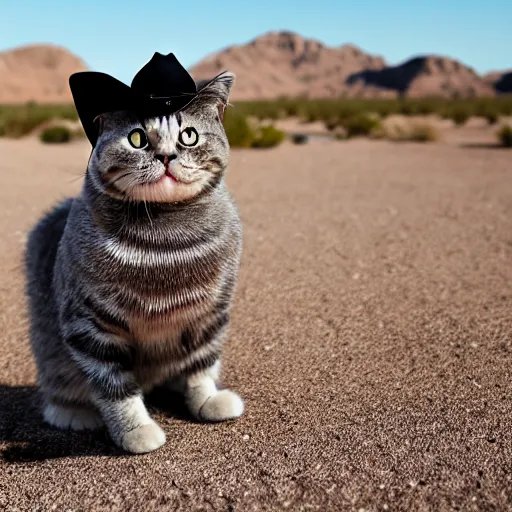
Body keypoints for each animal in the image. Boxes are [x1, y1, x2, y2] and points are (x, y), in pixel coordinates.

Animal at [25, 70, 245, 454]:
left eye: (189, 135)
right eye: (138, 138)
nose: (167, 156)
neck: (166, 241)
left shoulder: (210, 314)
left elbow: (201, 364)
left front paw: (205, 398)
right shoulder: (90, 324)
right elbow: (114, 386)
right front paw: (135, 429)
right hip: (52, 354)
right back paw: (73, 411)